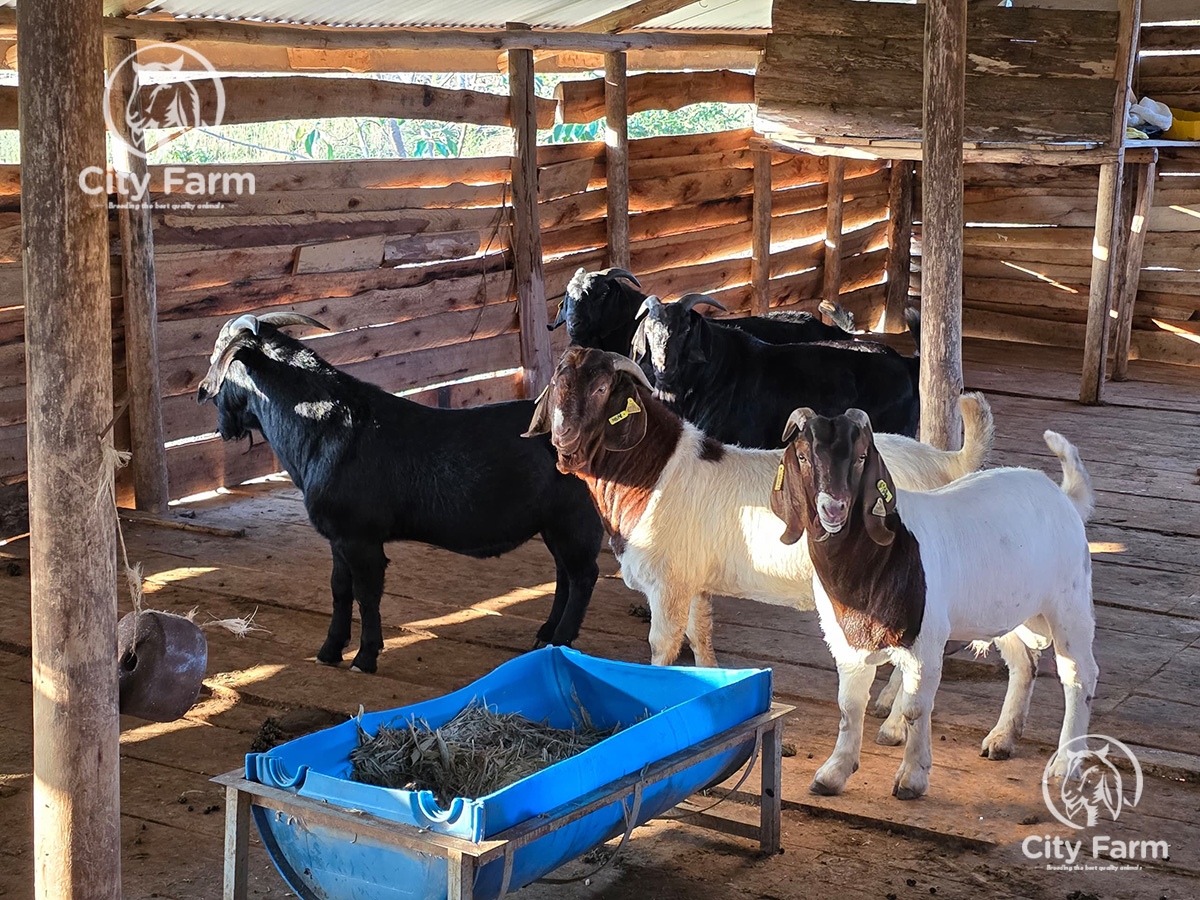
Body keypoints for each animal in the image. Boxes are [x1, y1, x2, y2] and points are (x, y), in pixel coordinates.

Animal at [196, 312, 604, 674]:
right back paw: (545, 635)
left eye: (219, 357)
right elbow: (339, 589)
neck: (326, 428)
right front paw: (329, 651)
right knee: (565, 573)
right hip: (554, 522)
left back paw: (561, 640)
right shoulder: (338, 537)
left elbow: (367, 594)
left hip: (576, 517)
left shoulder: (361, 538)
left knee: (584, 575)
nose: (216, 416)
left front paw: (365, 657)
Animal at [524, 348, 993, 682]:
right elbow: (700, 635)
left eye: (603, 389)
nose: (563, 440)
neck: (653, 472)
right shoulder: (693, 579)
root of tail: (944, 462)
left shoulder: (669, 581)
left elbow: (663, 646)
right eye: (557, 383)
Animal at [772, 408, 1096, 800]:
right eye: (803, 457)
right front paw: (832, 774)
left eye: (862, 457)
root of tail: (1064, 496)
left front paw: (912, 777)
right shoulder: (846, 643)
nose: (833, 508)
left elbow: (915, 708)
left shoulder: (925, 642)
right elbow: (849, 707)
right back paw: (1003, 738)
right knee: (1024, 664)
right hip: (1006, 608)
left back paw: (1066, 763)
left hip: (1070, 601)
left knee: (1079, 675)